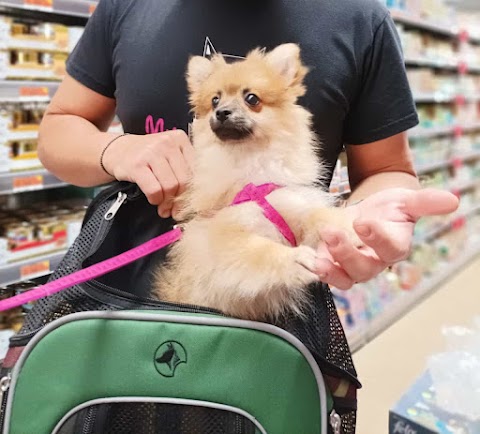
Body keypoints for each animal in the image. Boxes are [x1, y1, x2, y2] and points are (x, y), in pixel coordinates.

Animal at [154, 43, 360, 322]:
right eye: (215, 100)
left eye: (251, 99)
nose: (221, 112)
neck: (251, 164)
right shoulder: (227, 236)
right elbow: (261, 250)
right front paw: (293, 259)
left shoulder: (288, 205)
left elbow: (317, 216)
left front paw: (348, 223)